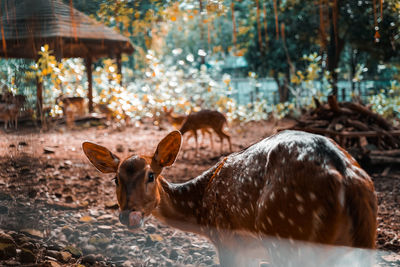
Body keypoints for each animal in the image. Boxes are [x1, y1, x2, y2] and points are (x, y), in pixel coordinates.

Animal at [82, 131, 378, 266]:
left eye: (151, 175)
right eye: (116, 179)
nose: (129, 215)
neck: (201, 213)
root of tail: (343, 177)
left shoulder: (227, 242)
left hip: (289, 237)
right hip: (364, 242)